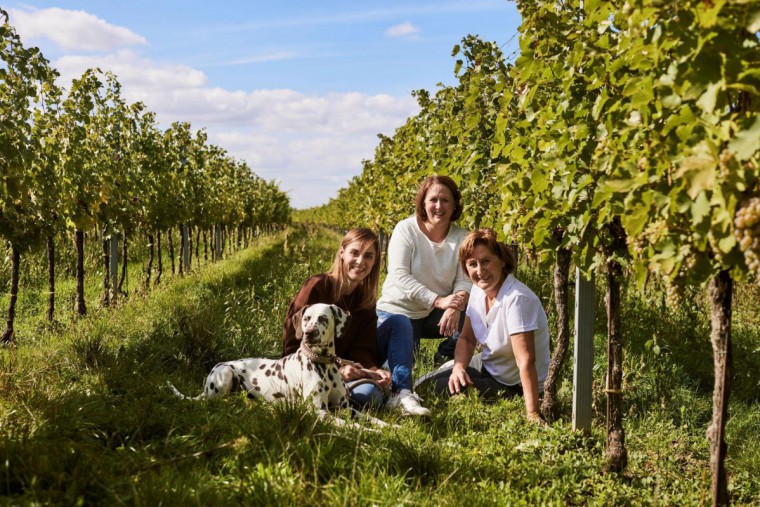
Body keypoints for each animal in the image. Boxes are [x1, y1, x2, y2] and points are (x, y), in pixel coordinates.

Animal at [168, 304, 388, 430]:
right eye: (306, 318)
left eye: (323, 318)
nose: (309, 333)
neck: (323, 364)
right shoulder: (320, 412)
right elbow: (355, 427)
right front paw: (372, 433)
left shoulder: (344, 407)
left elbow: (371, 418)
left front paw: (390, 427)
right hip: (225, 373)